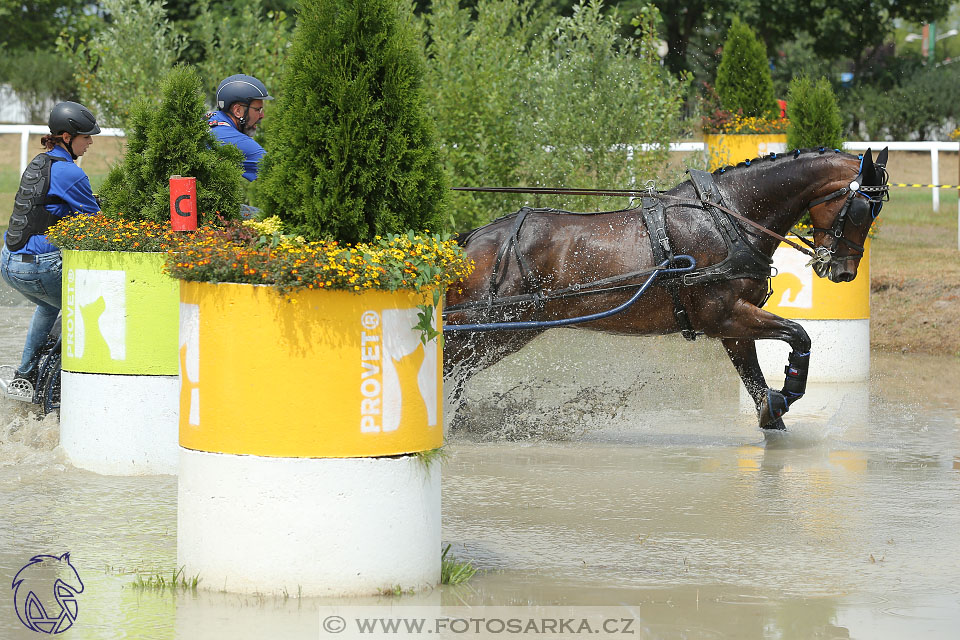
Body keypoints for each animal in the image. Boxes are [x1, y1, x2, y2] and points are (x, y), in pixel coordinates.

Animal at [442, 148, 892, 432]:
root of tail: (470, 242)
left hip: (501, 334)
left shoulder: (734, 328)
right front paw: (785, 396)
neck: (728, 217)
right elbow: (799, 335)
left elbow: (757, 386)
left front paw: (773, 414)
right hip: (488, 331)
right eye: (861, 209)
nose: (843, 271)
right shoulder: (725, 316)